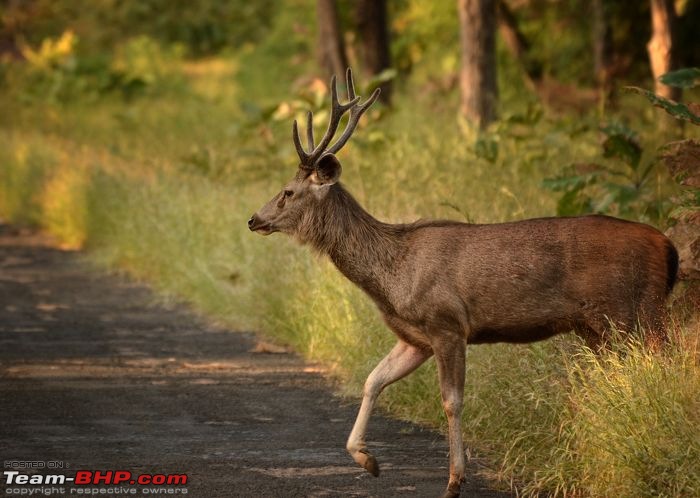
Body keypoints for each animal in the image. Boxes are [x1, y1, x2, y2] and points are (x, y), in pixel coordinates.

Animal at [247, 68, 680, 496]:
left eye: (288, 191)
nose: (254, 219)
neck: (393, 275)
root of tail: (668, 247)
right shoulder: (415, 338)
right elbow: (373, 380)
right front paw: (367, 460)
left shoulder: (447, 322)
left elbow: (451, 400)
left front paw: (455, 479)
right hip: (599, 327)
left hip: (632, 311)